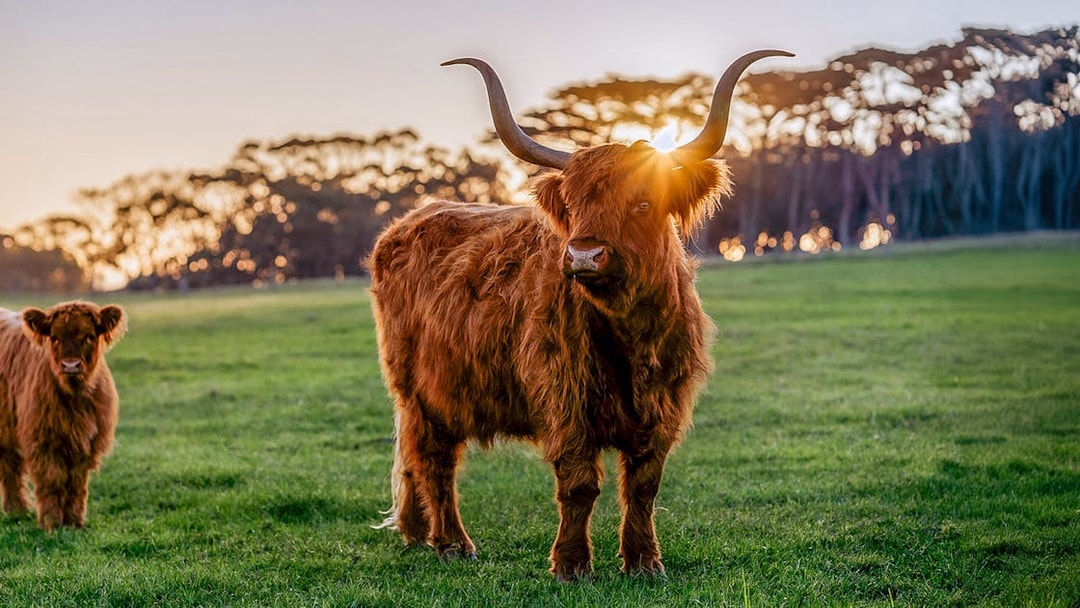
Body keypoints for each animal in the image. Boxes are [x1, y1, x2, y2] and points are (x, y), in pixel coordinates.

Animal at [0, 300, 126, 531]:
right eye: (55, 337)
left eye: (89, 336)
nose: (70, 366)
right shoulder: (43, 441)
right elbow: (53, 480)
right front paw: (52, 522)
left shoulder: (86, 443)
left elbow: (76, 483)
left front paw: (74, 521)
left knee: (10, 466)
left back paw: (16, 511)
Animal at [369, 50, 792, 580]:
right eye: (570, 206)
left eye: (643, 203)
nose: (584, 255)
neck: (631, 336)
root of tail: (408, 222)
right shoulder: (565, 396)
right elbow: (578, 484)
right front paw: (571, 564)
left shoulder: (664, 405)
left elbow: (643, 486)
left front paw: (644, 561)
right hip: (421, 394)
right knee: (435, 460)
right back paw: (451, 543)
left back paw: (416, 533)